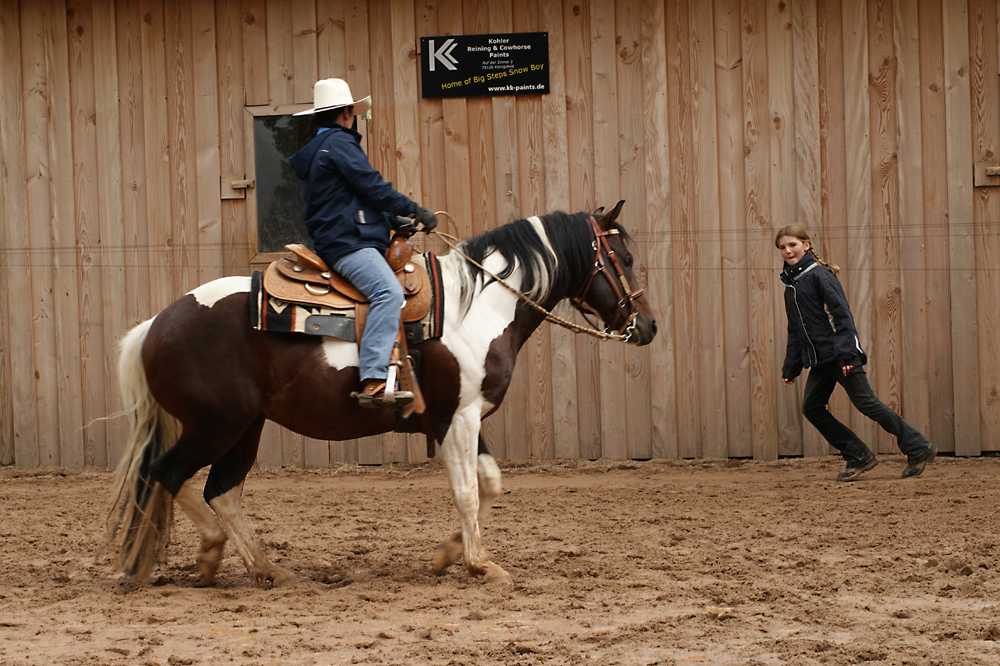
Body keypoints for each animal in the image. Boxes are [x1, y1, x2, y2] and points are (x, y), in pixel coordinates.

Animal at [107, 202, 656, 588]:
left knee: (221, 490)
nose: (647, 327)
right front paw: (480, 565)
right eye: (625, 257)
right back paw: (212, 553)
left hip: (246, 428)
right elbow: (467, 491)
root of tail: (156, 324)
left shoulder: (460, 417)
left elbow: (490, 485)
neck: (475, 305)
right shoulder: (459, 418)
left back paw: (269, 569)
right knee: (169, 474)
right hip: (216, 425)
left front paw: (449, 555)